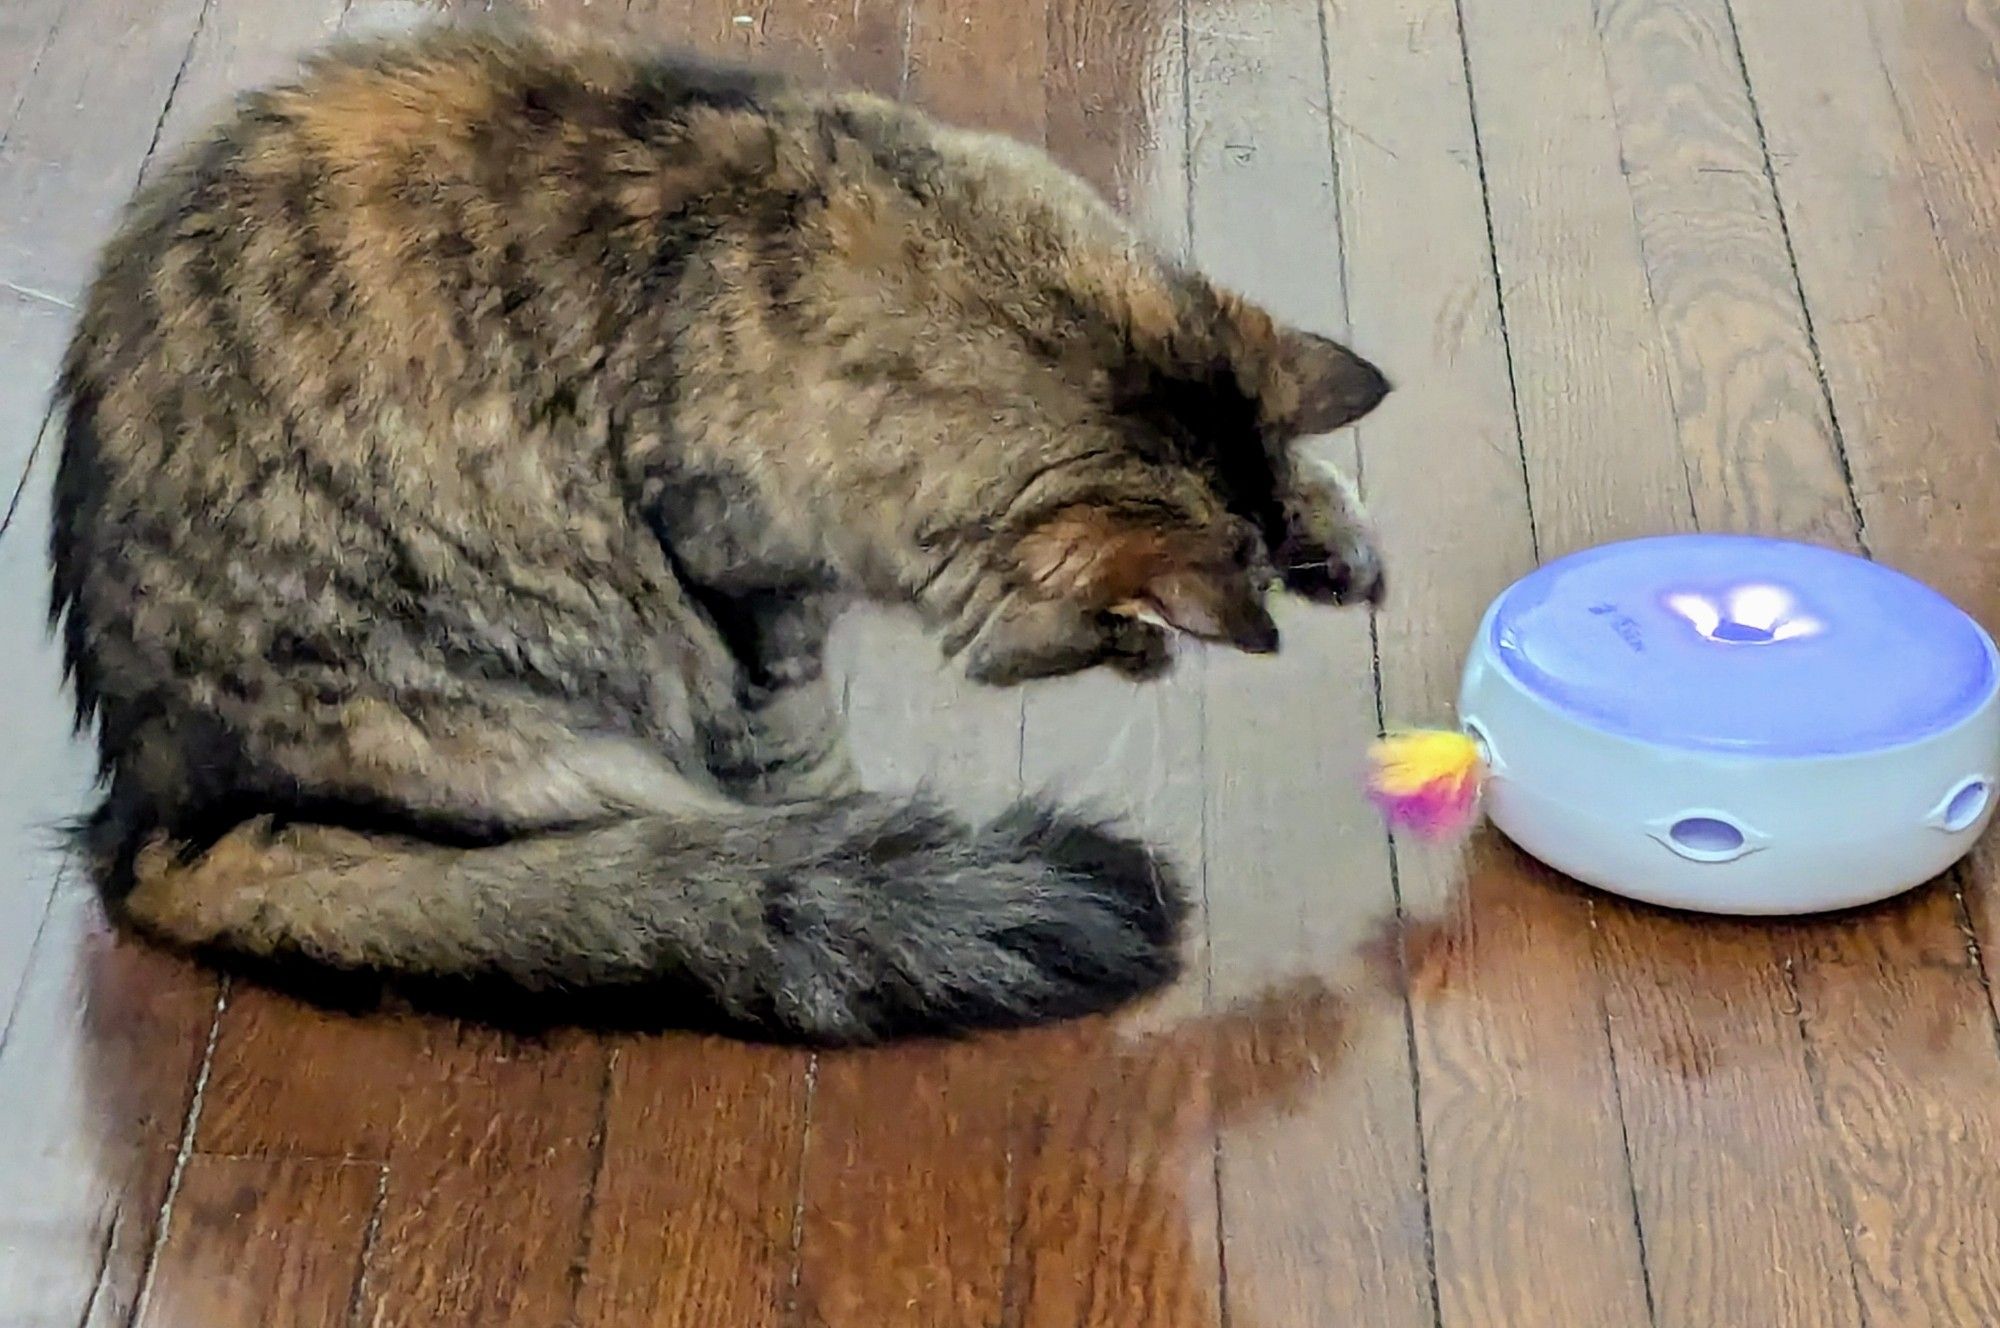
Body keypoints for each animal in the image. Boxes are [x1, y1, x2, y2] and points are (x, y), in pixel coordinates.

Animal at [50, 28, 1392, 1040]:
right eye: (1124, 638)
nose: (1157, 661)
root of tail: (147, 814)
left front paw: (1334, 537)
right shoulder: (741, 573)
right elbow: (793, 733)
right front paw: (848, 810)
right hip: (522, 729)